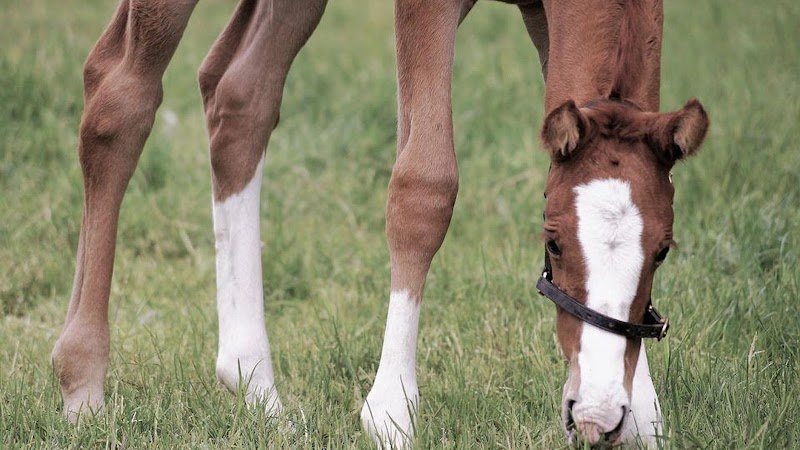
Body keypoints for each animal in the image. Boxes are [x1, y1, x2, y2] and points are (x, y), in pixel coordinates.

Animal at [50, 0, 708, 447]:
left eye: (663, 251)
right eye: (553, 242)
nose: (597, 414)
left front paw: (639, 411)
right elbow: (425, 187)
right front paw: (391, 411)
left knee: (239, 92)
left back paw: (256, 388)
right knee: (120, 94)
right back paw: (83, 387)